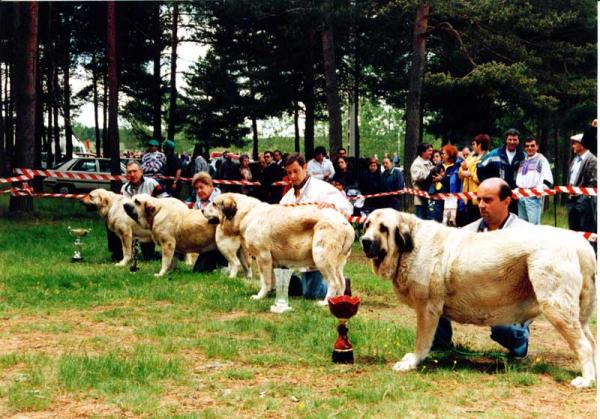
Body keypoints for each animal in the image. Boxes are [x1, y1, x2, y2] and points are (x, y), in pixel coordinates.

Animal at [202, 194, 356, 306]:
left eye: (214, 204)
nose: (202, 209)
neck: (247, 214)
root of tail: (346, 223)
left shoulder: (262, 256)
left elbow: (264, 280)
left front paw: (259, 296)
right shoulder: (272, 261)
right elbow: (272, 279)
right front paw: (270, 293)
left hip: (322, 257)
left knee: (334, 283)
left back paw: (325, 303)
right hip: (337, 263)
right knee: (342, 283)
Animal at [360, 210, 596, 390]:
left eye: (383, 228)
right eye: (367, 225)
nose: (364, 241)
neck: (410, 246)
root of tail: (578, 242)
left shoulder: (426, 309)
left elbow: (422, 341)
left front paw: (413, 362)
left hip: (557, 308)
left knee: (584, 346)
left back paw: (585, 380)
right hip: (577, 314)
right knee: (592, 342)